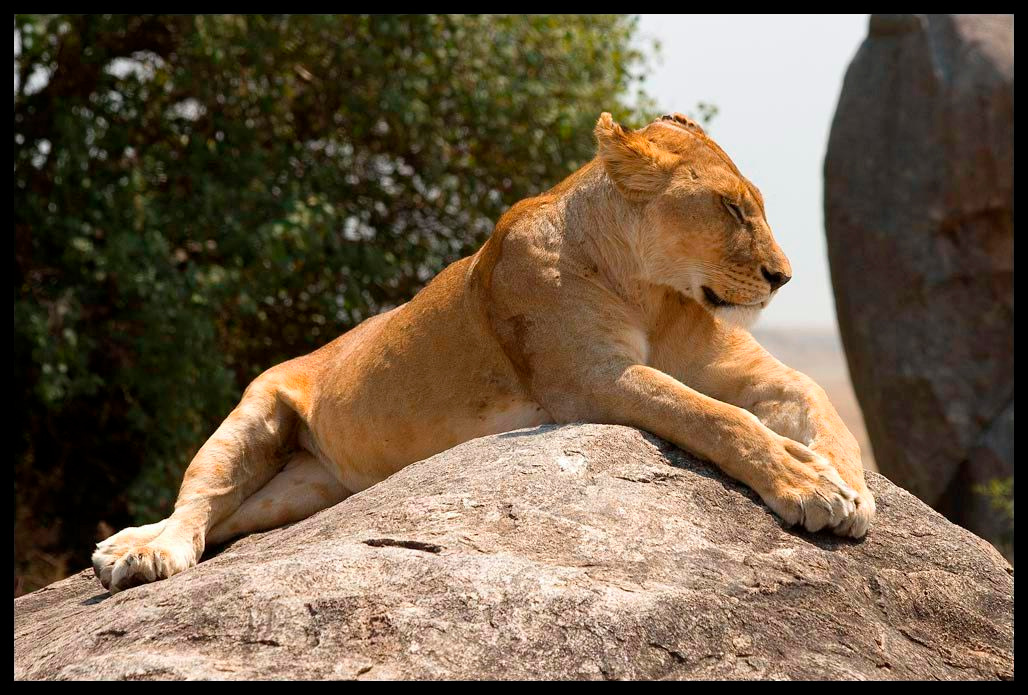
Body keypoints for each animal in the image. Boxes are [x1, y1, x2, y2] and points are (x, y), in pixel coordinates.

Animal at [92, 112, 875, 594]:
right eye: (732, 208)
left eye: (756, 205)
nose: (783, 277)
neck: (654, 288)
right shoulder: (588, 380)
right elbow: (713, 416)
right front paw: (808, 484)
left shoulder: (734, 367)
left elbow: (812, 397)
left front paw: (848, 485)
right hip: (255, 410)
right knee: (199, 499)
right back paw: (141, 549)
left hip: (303, 489)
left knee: (229, 517)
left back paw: (129, 541)